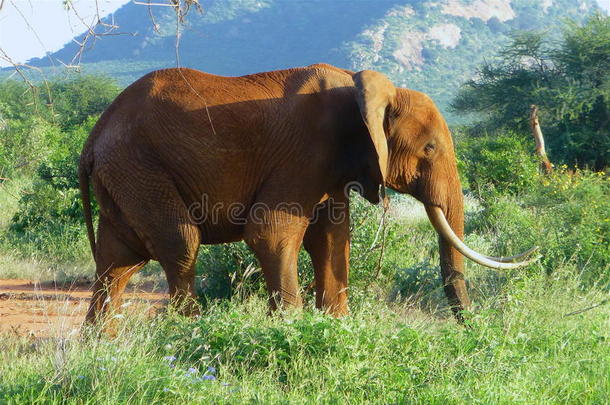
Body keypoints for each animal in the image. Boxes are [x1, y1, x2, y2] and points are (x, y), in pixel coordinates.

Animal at [78, 63, 536, 324]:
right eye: (429, 149)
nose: (473, 328)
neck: (363, 90)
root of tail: (94, 138)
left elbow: (333, 239)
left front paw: (336, 326)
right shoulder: (306, 149)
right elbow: (270, 233)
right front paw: (291, 327)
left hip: (126, 175)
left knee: (119, 261)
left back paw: (100, 348)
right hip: (140, 166)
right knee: (180, 243)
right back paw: (188, 333)